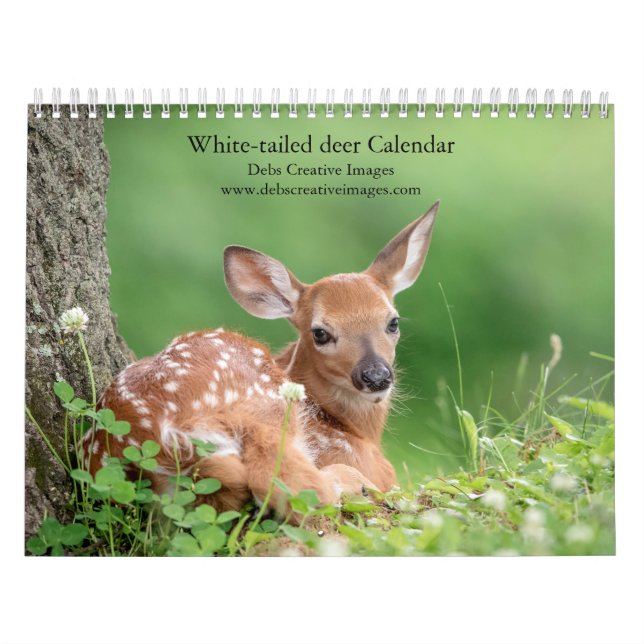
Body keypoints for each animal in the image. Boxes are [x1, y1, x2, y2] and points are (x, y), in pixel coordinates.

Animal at [83, 201, 440, 517]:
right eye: (320, 333)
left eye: (393, 322)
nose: (376, 376)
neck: (354, 430)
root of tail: (163, 436)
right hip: (265, 410)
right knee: (293, 486)